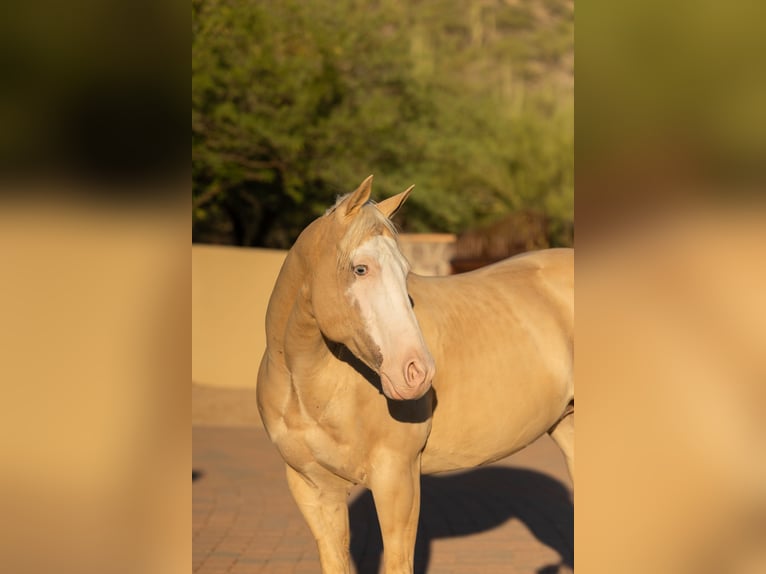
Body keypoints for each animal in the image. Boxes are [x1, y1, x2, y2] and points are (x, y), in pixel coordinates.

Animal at [257, 176, 574, 573]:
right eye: (360, 269)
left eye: (405, 273)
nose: (417, 372)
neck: (308, 387)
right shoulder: (313, 487)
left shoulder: (397, 477)